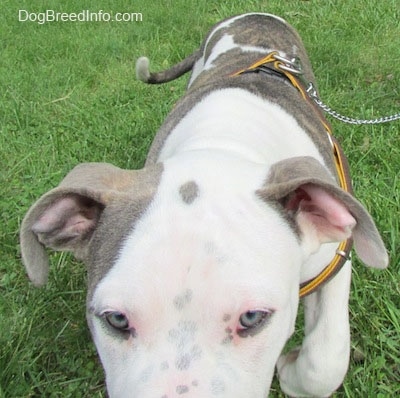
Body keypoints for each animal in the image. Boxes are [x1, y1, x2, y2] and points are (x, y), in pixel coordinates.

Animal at [21, 13, 388, 398]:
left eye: (252, 318)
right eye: (116, 319)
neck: (226, 140)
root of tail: (254, 15)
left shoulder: (335, 259)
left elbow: (325, 360)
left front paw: (291, 372)